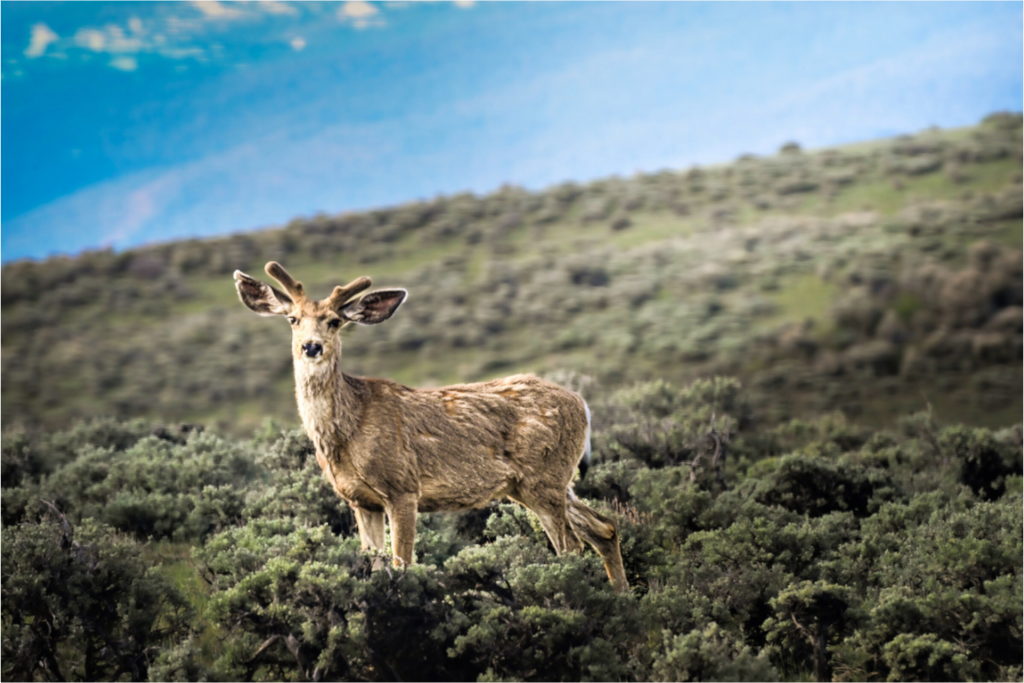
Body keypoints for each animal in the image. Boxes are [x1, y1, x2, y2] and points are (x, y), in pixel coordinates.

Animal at [234, 262, 628, 593]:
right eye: (293, 319)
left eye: (333, 321)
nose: (311, 347)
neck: (347, 431)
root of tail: (581, 402)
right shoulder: (360, 500)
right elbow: (374, 567)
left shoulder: (402, 487)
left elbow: (402, 566)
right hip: (541, 482)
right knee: (604, 528)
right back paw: (622, 598)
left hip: (542, 477)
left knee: (571, 547)